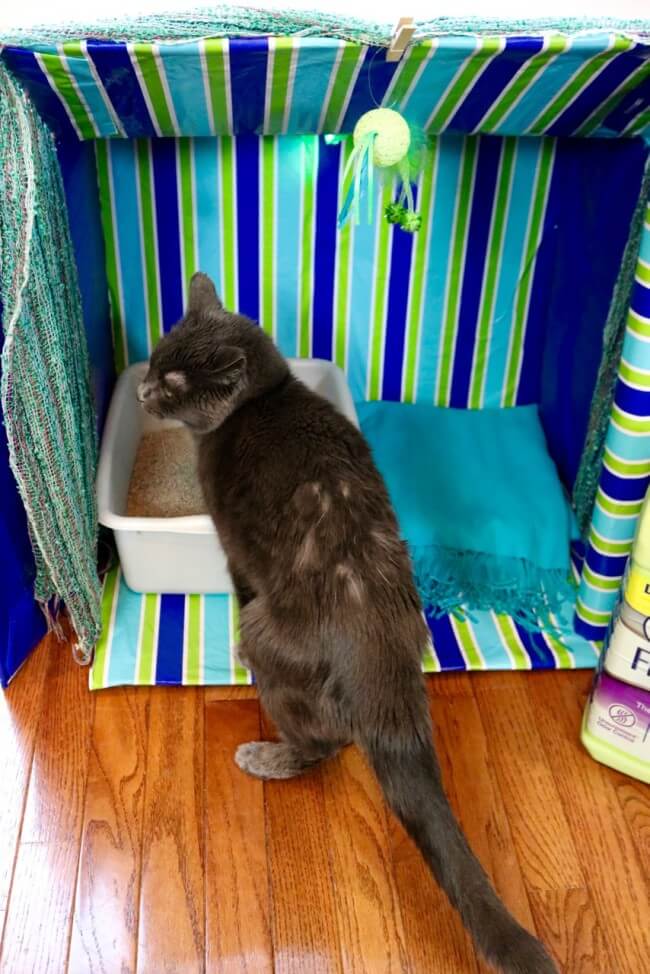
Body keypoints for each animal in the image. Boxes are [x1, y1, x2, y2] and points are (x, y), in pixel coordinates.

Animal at [138, 272, 557, 974]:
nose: (142, 390)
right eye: (153, 359)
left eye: (173, 383)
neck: (264, 397)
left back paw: (266, 752)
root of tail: (379, 644)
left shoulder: (234, 545)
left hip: (274, 643)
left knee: (323, 740)